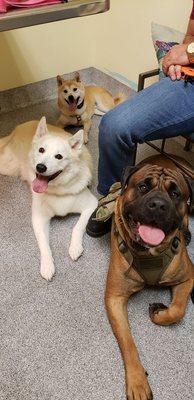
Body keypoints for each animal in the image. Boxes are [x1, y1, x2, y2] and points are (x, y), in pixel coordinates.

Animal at [0, 117, 97, 282]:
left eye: (59, 156)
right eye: (41, 150)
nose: (40, 167)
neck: (58, 190)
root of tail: (19, 127)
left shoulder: (92, 205)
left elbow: (78, 227)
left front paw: (75, 247)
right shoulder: (39, 219)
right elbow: (44, 245)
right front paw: (47, 266)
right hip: (7, 166)